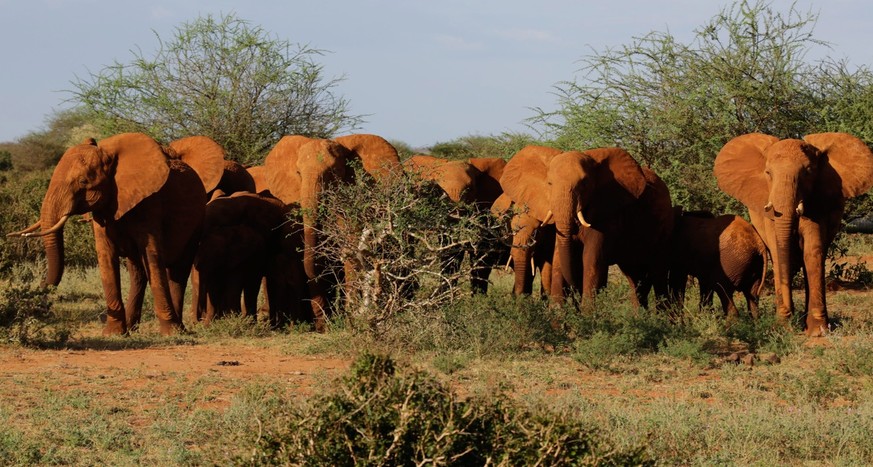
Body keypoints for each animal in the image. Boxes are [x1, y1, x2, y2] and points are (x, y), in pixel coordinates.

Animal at [8, 133, 225, 334]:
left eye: (83, 181)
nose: (41, 284)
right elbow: (106, 257)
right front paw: (113, 333)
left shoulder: (150, 204)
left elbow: (153, 257)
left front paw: (169, 333)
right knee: (138, 272)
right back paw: (132, 327)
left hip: (197, 221)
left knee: (178, 270)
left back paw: (179, 328)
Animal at [498, 146, 676, 308]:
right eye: (549, 183)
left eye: (584, 184)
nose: (575, 292)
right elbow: (558, 258)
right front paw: (557, 317)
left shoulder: (605, 214)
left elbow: (591, 259)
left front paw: (587, 317)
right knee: (634, 278)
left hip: (665, 227)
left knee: (658, 273)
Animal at [712, 132, 872, 336]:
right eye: (768, 173)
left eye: (808, 172)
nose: (787, 320)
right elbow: (777, 250)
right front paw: (783, 325)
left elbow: (812, 250)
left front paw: (818, 331)